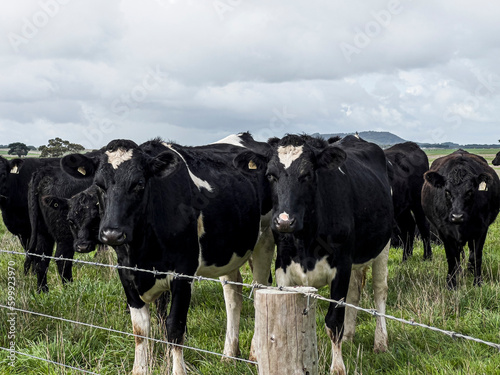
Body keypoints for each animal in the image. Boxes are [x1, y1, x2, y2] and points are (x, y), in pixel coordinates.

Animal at [61, 138, 276, 375]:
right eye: (99, 185)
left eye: (139, 184)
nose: (112, 234)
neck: (141, 251)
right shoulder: (126, 273)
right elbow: (140, 329)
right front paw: (139, 370)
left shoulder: (183, 273)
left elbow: (174, 327)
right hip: (229, 253)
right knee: (233, 296)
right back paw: (229, 355)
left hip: (265, 239)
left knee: (259, 290)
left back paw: (254, 355)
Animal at [234, 136, 394, 375]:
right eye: (270, 175)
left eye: (307, 175)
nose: (284, 221)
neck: (305, 242)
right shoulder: (283, 267)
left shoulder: (342, 265)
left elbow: (334, 320)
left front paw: (338, 367)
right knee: (355, 292)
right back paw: (349, 337)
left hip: (383, 246)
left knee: (379, 290)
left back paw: (381, 341)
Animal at [422, 151, 500, 290]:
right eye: (447, 191)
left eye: (469, 191)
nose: (457, 216)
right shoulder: (444, 232)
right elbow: (451, 257)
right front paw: (451, 284)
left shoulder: (481, 229)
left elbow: (476, 256)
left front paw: (477, 283)